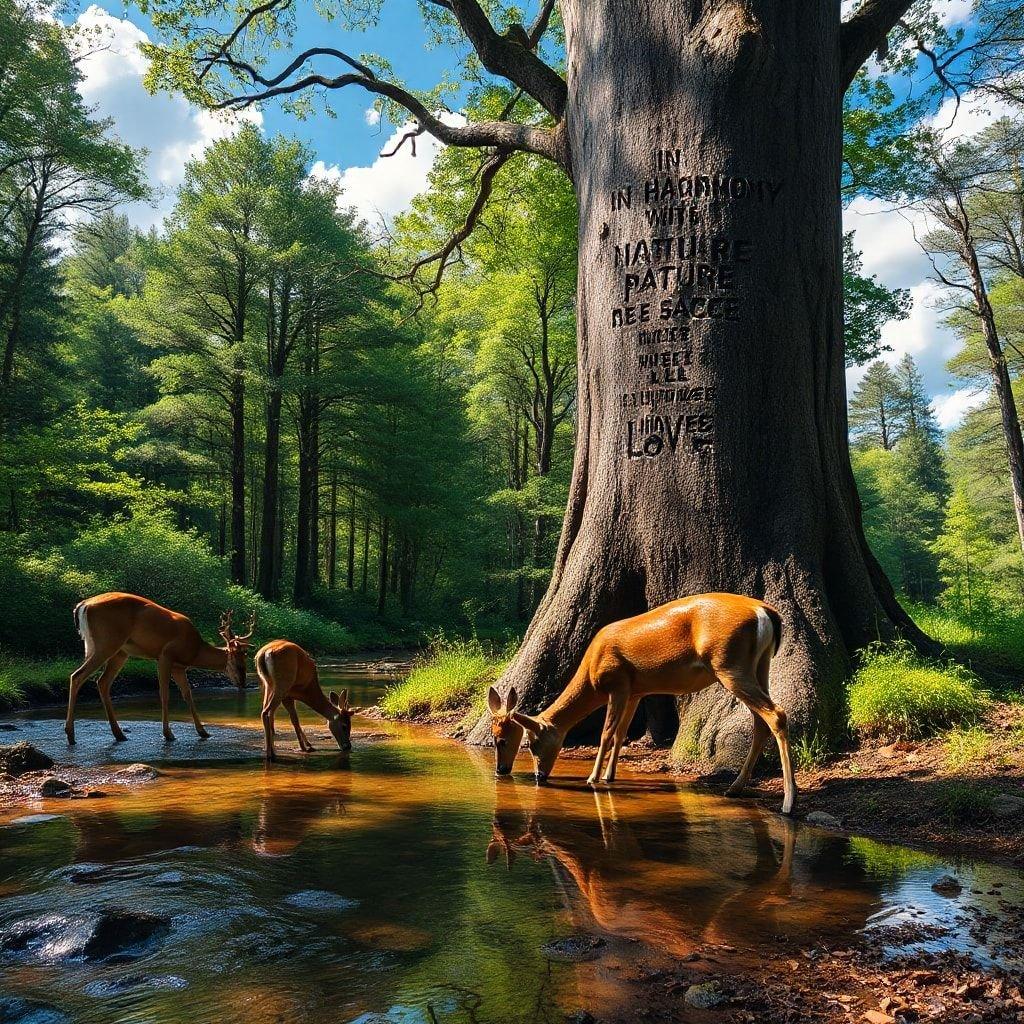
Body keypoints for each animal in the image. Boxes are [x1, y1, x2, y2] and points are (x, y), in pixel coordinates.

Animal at [66, 593, 256, 745]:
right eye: (239, 661)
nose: (243, 683)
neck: (194, 651)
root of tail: (83, 605)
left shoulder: (179, 667)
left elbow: (188, 694)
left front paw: (203, 731)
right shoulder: (165, 655)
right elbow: (164, 694)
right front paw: (168, 734)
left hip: (118, 651)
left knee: (102, 682)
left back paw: (119, 734)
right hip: (106, 642)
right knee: (77, 676)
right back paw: (70, 735)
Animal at [489, 593, 798, 815]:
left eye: (515, 741)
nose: (502, 770)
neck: (591, 674)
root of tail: (765, 611)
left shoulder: (617, 683)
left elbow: (606, 733)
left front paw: (593, 777)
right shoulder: (636, 691)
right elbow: (621, 733)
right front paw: (610, 775)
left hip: (729, 664)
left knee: (777, 714)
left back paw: (788, 802)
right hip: (760, 664)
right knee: (761, 721)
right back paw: (735, 787)